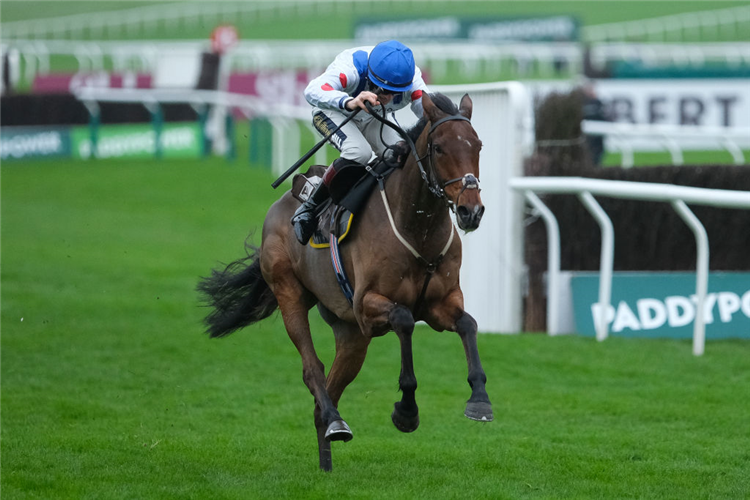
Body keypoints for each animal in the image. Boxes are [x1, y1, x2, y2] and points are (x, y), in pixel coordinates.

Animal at [198, 94, 494, 472]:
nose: (471, 210)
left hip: (350, 333)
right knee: (313, 370)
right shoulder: (367, 306)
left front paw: (480, 400)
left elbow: (468, 324)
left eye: (478, 145)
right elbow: (404, 319)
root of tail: (283, 202)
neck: (416, 228)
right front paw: (406, 411)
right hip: (290, 293)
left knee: (327, 392)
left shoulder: (440, 304)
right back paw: (337, 423)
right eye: (439, 147)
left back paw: (328, 450)